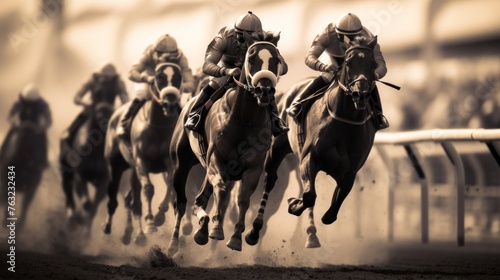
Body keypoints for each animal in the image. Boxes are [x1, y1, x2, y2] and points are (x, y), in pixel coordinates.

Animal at [102, 61, 185, 245]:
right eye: (159, 78)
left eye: (178, 78)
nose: (170, 103)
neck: (158, 126)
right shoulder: (141, 160)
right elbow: (148, 189)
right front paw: (150, 224)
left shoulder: (168, 161)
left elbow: (170, 183)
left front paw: (160, 215)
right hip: (115, 164)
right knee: (114, 195)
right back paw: (109, 226)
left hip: (132, 170)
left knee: (130, 199)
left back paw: (132, 234)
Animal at [169, 35, 284, 254]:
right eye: (251, 59)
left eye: (277, 60)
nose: (264, 91)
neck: (245, 119)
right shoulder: (216, 158)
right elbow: (221, 188)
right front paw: (215, 229)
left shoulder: (253, 167)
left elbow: (244, 199)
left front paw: (236, 237)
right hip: (181, 163)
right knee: (181, 202)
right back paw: (174, 244)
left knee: (199, 199)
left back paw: (201, 223)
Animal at [246, 36, 378, 248]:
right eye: (348, 63)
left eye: (373, 64)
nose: (361, 94)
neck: (344, 122)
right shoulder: (309, 158)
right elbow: (309, 196)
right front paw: (294, 204)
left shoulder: (350, 173)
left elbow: (330, 214)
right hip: (278, 147)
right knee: (270, 180)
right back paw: (254, 230)